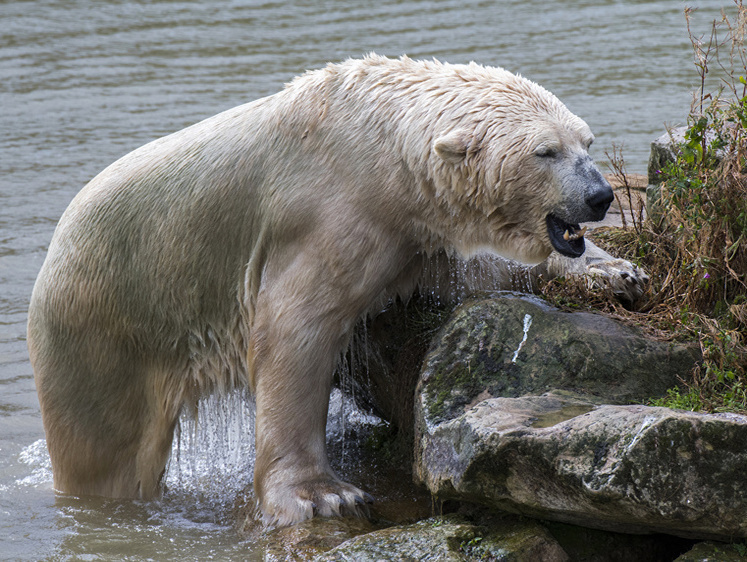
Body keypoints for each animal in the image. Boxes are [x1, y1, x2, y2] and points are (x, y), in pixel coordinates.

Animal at [29, 53, 644, 524]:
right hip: (105, 332)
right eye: (546, 151)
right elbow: (292, 332)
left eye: (586, 141)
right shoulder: (329, 211)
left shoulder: (413, 230)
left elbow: (479, 270)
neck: (382, 144)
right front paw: (323, 495)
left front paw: (617, 272)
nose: (599, 196)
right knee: (104, 452)